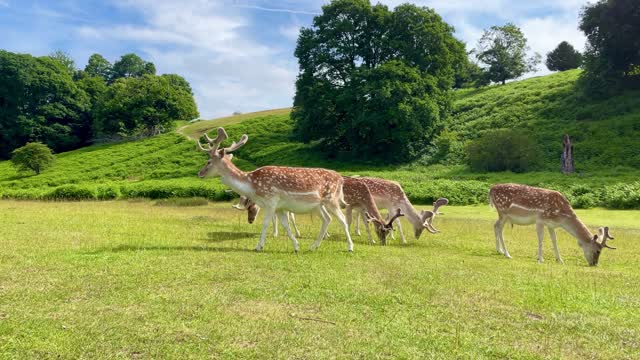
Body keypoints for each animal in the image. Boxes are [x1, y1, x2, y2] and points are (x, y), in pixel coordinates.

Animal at [198, 128, 352, 252]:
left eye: (208, 162)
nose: (200, 173)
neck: (252, 186)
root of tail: (340, 178)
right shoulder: (279, 207)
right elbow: (286, 225)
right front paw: (296, 246)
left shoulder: (271, 201)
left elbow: (266, 223)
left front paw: (259, 246)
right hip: (318, 205)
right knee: (327, 219)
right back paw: (313, 246)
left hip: (331, 199)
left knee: (342, 220)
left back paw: (350, 247)